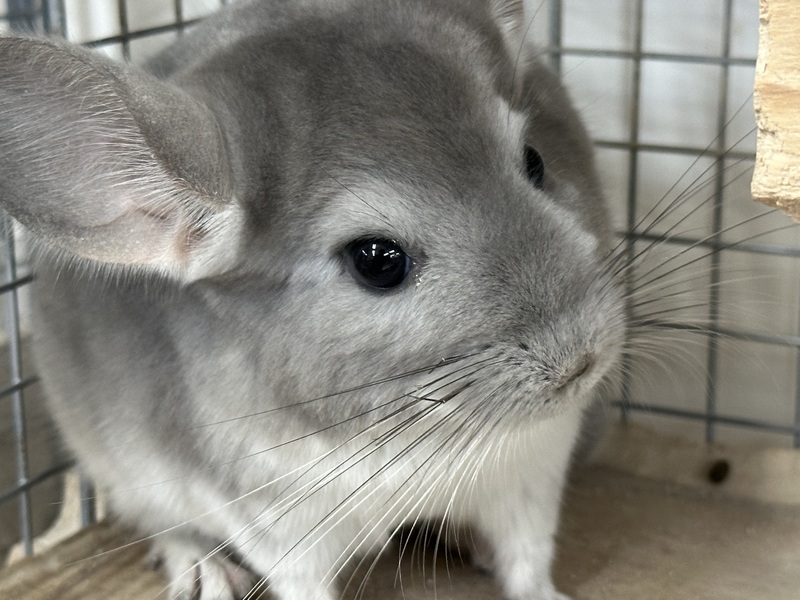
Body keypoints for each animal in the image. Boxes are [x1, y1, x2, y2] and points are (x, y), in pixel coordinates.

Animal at [0, 0, 626, 598]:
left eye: (536, 162)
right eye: (378, 261)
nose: (580, 360)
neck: (414, 435)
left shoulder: (532, 471)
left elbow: (529, 558)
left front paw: (544, 591)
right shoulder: (276, 517)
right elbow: (302, 583)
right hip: (125, 475)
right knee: (166, 528)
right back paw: (205, 573)